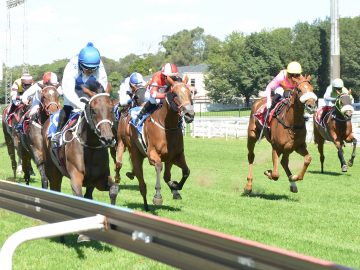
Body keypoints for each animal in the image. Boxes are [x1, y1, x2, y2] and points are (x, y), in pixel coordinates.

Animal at [115, 76, 194, 211]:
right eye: (175, 94)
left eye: (190, 93)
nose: (190, 114)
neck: (167, 127)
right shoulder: (152, 154)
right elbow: (158, 166)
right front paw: (158, 196)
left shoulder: (175, 156)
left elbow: (185, 171)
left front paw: (175, 186)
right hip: (133, 151)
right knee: (140, 182)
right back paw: (144, 204)